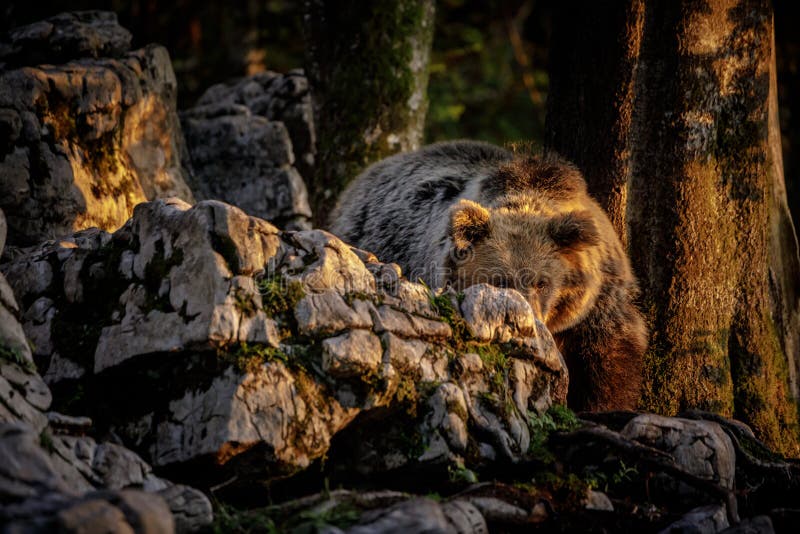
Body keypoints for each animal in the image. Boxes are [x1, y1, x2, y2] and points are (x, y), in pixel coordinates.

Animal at [332, 140, 648, 412]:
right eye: (500, 281)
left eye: (542, 282)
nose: (531, 324)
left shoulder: (601, 297)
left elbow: (609, 355)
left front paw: (603, 404)